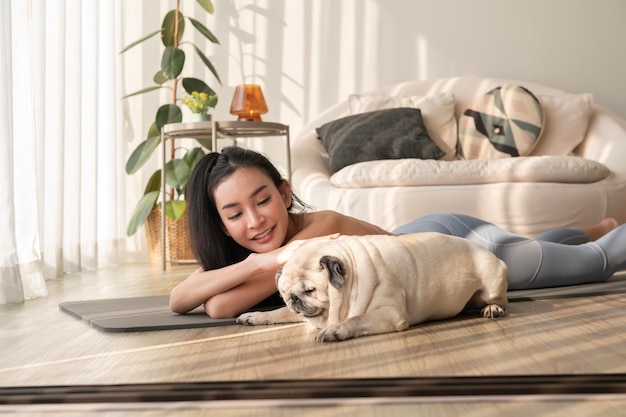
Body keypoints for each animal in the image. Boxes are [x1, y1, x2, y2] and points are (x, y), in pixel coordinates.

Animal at [235, 232, 508, 340]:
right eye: (285, 294)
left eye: (310, 290)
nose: (295, 300)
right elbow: (276, 313)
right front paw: (254, 316)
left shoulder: (389, 314)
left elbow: (356, 320)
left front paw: (335, 331)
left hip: (492, 281)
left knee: (499, 300)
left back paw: (492, 309)